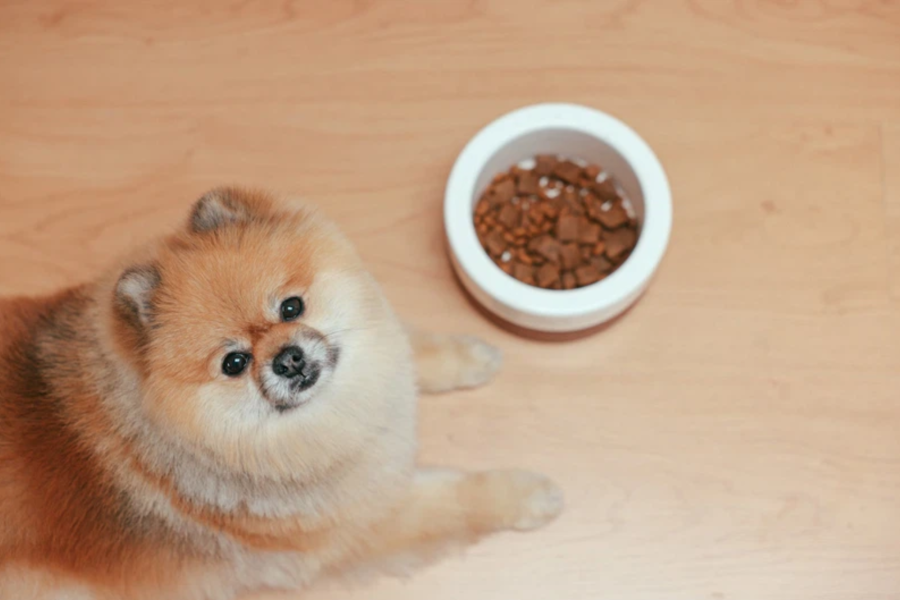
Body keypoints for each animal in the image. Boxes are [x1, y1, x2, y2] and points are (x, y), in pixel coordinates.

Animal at [0, 188, 564, 600]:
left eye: (291, 307)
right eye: (233, 363)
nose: (288, 358)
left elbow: (406, 349)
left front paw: (467, 356)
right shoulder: (365, 527)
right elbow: (460, 500)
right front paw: (529, 494)